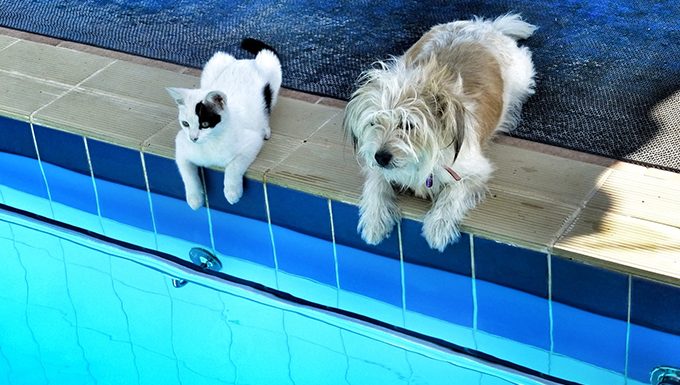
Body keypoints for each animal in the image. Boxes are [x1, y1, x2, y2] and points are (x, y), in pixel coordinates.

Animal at [167, 37, 282, 208]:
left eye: (205, 124)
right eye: (185, 123)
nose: (193, 138)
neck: (211, 144)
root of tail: (245, 61)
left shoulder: (252, 142)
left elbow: (234, 166)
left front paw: (232, 191)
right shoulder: (181, 144)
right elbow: (187, 174)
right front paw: (194, 198)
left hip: (272, 68)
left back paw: (265, 129)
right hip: (215, 61)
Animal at [346, 13, 536, 250]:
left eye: (408, 125)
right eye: (374, 123)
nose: (381, 157)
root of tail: (482, 26)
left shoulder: (475, 171)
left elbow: (454, 192)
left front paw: (439, 225)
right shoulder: (375, 163)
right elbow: (376, 182)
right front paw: (375, 218)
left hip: (522, 77)